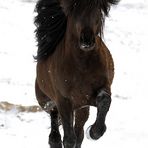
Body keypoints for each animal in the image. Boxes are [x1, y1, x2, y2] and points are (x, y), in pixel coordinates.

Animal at [34, 0, 118, 148]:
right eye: (74, 10)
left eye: (97, 10)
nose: (87, 40)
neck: (82, 65)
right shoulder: (63, 100)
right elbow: (68, 139)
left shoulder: (97, 92)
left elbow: (105, 100)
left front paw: (93, 132)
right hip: (47, 102)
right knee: (55, 133)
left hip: (81, 108)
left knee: (78, 133)